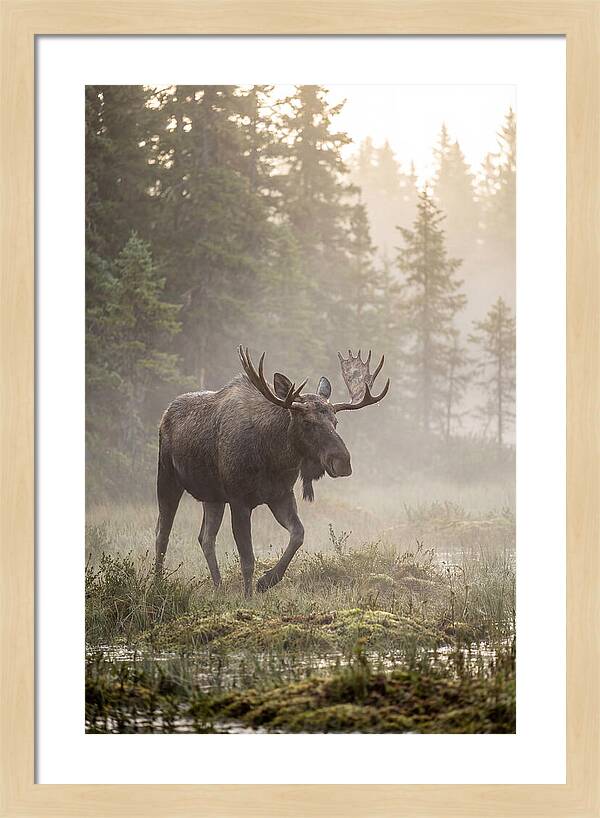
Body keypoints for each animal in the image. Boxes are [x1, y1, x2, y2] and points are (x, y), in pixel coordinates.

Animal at [155, 346, 390, 596]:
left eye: (336, 422)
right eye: (307, 422)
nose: (343, 461)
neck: (273, 458)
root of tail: (165, 414)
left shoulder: (280, 495)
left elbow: (298, 534)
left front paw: (267, 581)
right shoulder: (239, 500)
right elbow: (247, 559)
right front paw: (248, 596)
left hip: (213, 496)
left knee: (205, 538)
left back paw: (218, 587)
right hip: (167, 477)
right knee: (162, 533)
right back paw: (157, 583)